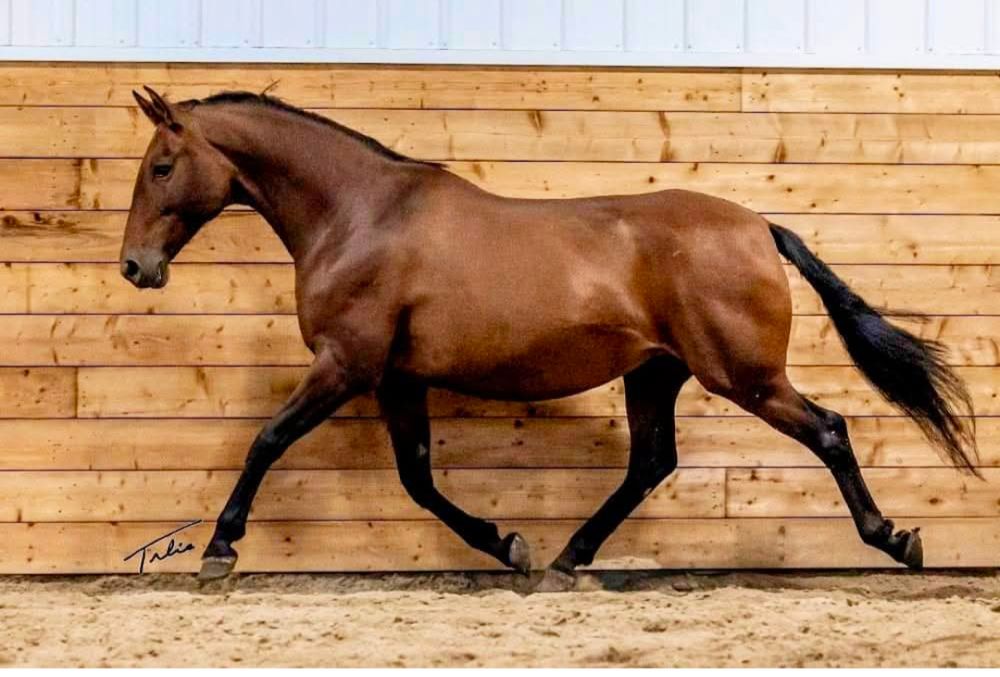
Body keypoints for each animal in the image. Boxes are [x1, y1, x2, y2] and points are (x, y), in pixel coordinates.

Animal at [122, 86, 978, 590]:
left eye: (162, 167)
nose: (136, 266)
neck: (362, 215)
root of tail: (760, 227)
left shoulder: (347, 364)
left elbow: (267, 440)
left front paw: (220, 549)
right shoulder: (398, 377)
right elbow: (419, 479)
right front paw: (510, 545)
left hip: (745, 376)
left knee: (828, 429)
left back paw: (896, 540)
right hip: (656, 373)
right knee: (651, 462)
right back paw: (569, 555)